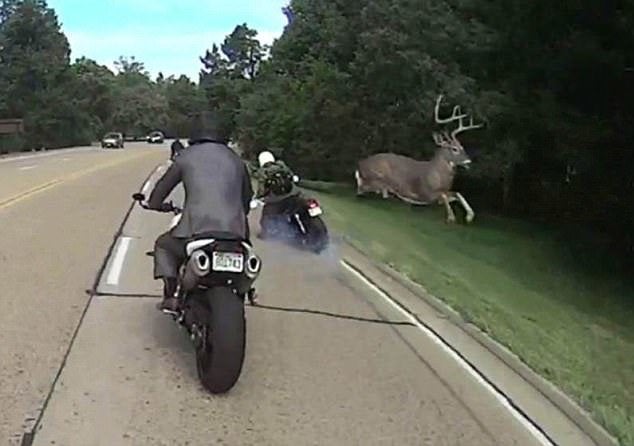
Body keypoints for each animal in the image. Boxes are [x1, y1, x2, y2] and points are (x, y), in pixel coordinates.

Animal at [354, 96, 482, 225]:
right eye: (454, 149)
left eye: (462, 147)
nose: (468, 161)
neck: (439, 175)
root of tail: (361, 164)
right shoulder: (427, 192)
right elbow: (444, 196)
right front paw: (451, 217)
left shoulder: (443, 191)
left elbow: (457, 193)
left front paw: (469, 216)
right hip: (379, 177)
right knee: (363, 187)